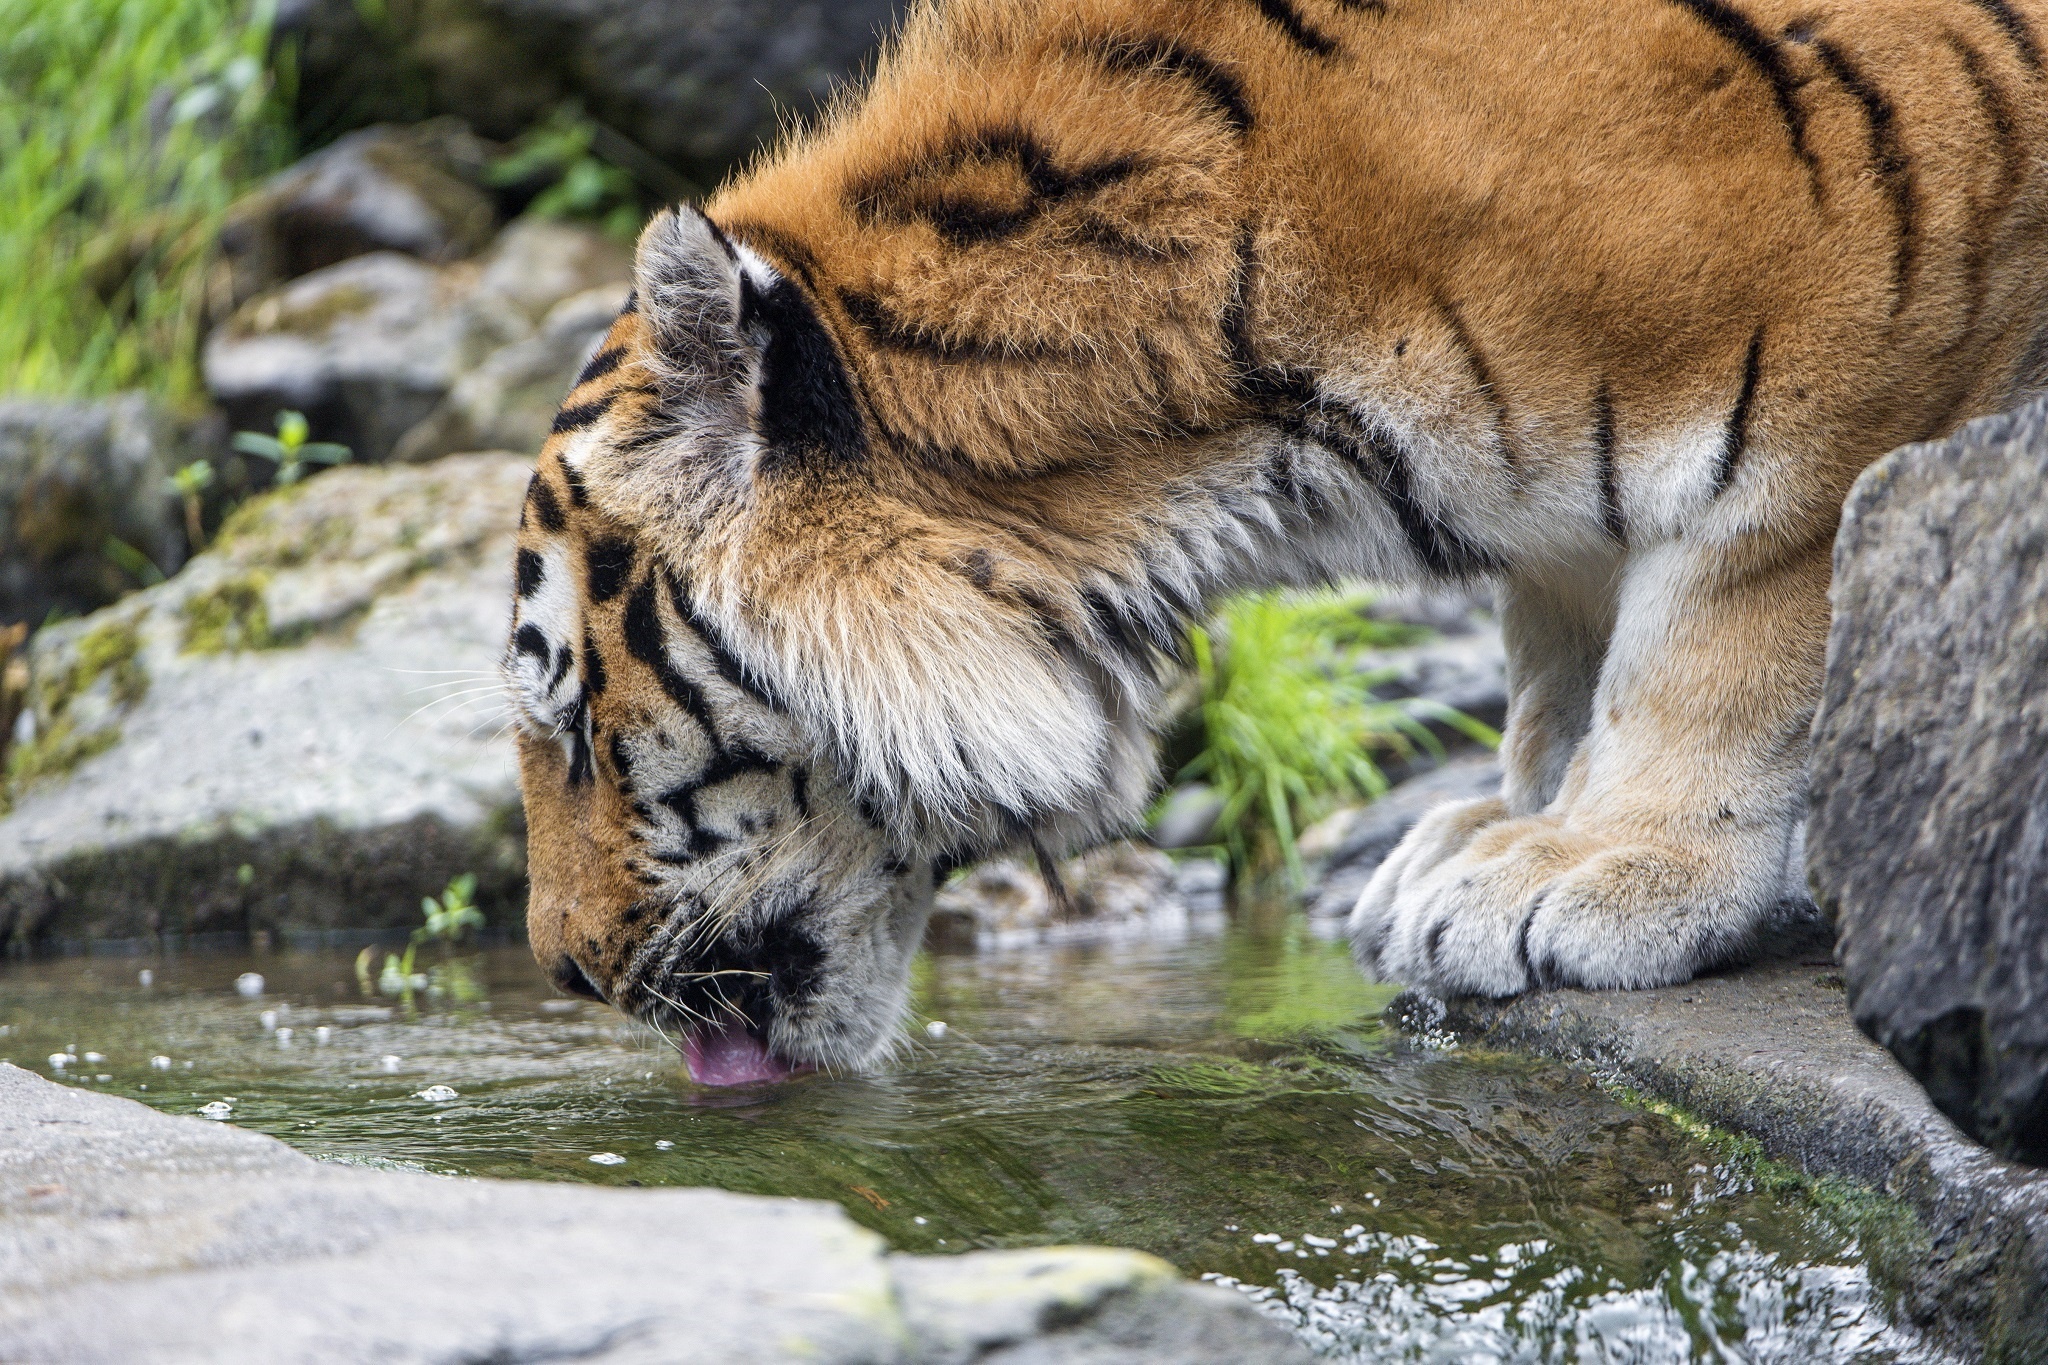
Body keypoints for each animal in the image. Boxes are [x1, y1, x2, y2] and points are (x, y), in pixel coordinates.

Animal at [499, 0, 2048, 1088]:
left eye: (576, 726)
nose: (559, 972)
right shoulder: (1563, 515)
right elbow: (1562, 643)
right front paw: (1500, 832)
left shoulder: (1853, 378)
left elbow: (1714, 649)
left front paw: (1599, 865)